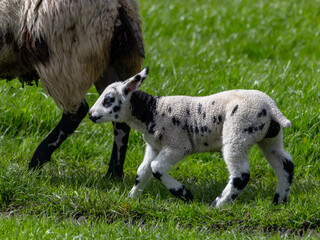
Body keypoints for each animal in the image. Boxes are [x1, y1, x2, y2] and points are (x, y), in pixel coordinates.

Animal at [0, 0, 145, 178]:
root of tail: (118, 5)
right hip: (111, 62)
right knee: (119, 116)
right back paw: (113, 175)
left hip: (67, 62)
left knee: (76, 113)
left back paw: (36, 162)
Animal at [89, 68, 294, 208]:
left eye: (108, 100)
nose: (91, 115)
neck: (151, 111)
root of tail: (271, 107)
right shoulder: (154, 146)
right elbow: (142, 171)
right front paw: (131, 198)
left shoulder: (177, 145)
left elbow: (156, 168)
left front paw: (185, 194)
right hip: (270, 137)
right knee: (285, 164)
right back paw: (279, 202)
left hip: (238, 133)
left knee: (241, 174)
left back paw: (217, 205)